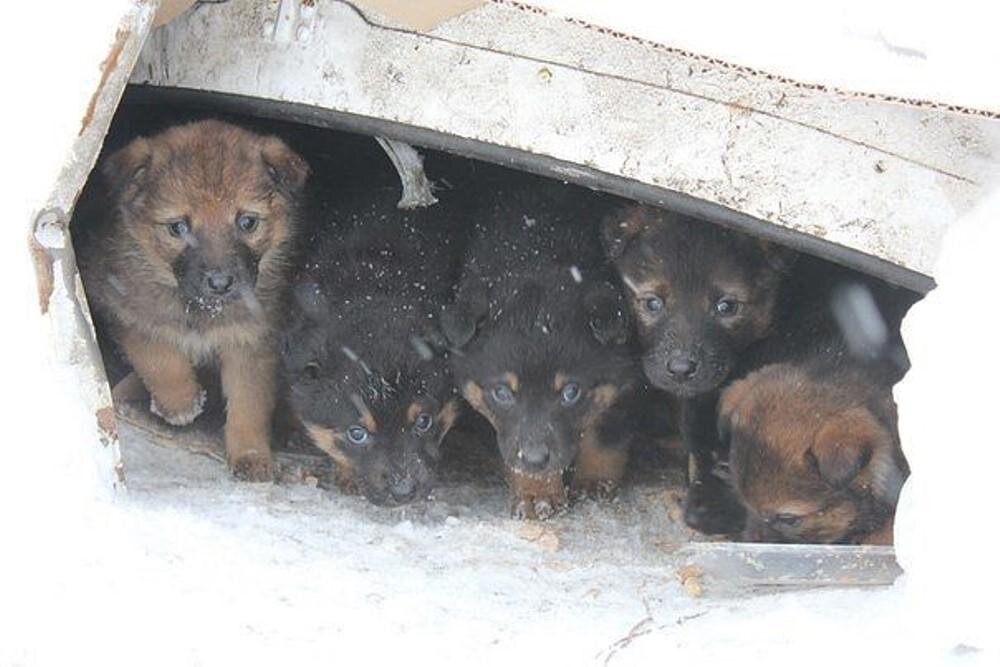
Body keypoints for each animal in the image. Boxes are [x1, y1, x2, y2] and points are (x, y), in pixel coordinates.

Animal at [78, 120, 308, 482]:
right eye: (178, 227)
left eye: (247, 222)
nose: (220, 283)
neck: (201, 310)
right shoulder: (126, 307)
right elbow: (157, 356)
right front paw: (180, 404)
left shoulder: (252, 342)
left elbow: (249, 403)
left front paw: (252, 454)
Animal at [444, 179, 636, 520]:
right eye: (501, 393)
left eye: (571, 392)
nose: (535, 458)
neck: (539, 248)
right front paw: (537, 494)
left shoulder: (621, 376)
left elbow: (604, 432)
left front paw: (595, 480)